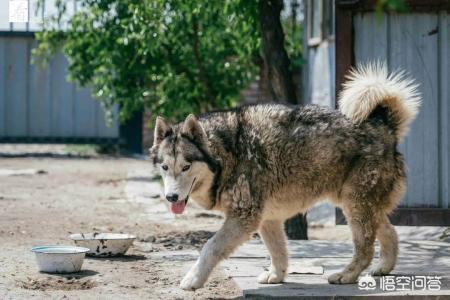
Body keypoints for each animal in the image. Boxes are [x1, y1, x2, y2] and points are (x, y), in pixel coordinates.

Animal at [149, 63, 420, 290]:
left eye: (186, 167)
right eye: (165, 167)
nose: (171, 197)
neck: (227, 152)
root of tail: (383, 125)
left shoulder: (243, 218)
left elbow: (209, 247)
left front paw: (192, 280)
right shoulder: (267, 219)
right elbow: (278, 252)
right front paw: (276, 276)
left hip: (355, 208)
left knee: (365, 249)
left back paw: (347, 275)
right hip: (360, 207)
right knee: (390, 233)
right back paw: (383, 268)